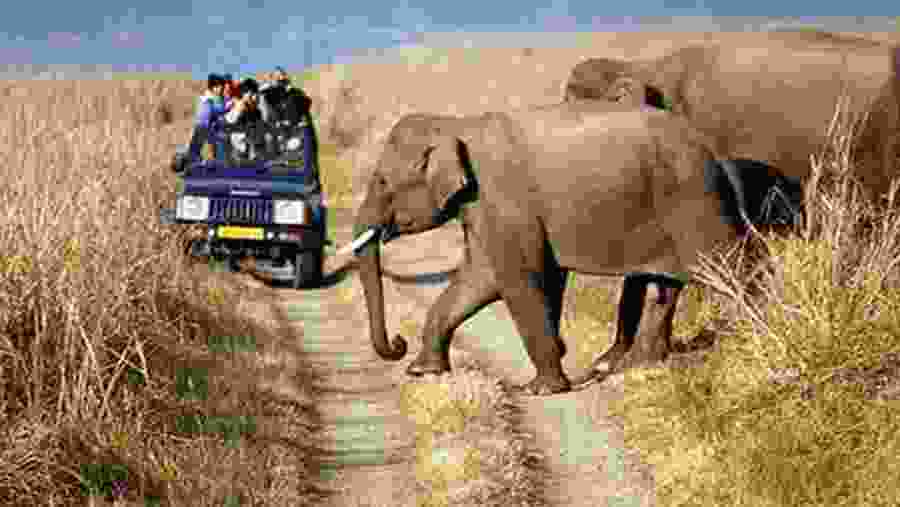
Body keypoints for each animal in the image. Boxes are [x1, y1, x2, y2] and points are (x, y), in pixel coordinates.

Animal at [350, 100, 799, 395]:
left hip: (694, 199)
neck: (455, 124)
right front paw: (423, 372)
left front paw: (541, 389)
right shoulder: (480, 206)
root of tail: (712, 152)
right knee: (666, 284)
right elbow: (483, 277)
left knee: (732, 266)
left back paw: (762, 333)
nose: (397, 344)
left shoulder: (503, 200)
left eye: (384, 182)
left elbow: (517, 278)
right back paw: (639, 364)